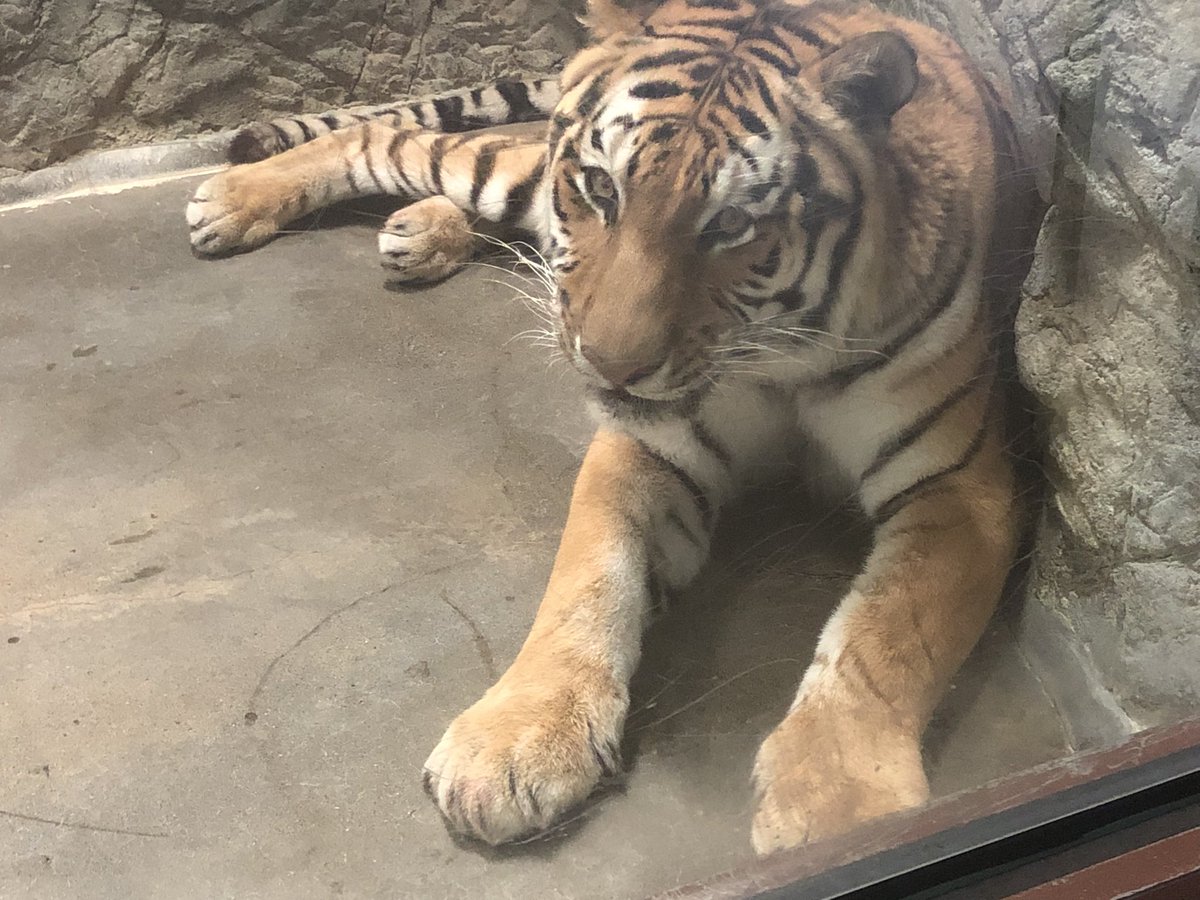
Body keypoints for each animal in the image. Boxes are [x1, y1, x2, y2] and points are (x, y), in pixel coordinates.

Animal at [184, 0, 1041, 854]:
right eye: (601, 188)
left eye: (731, 223)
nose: (610, 363)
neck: (779, 358)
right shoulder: (651, 451)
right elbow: (587, 579)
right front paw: (516, 740)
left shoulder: (960, 487)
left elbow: (891, 634)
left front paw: (842, 812)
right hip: (509, 175)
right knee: (400, 143)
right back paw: (237, 197)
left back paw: (419, 232)